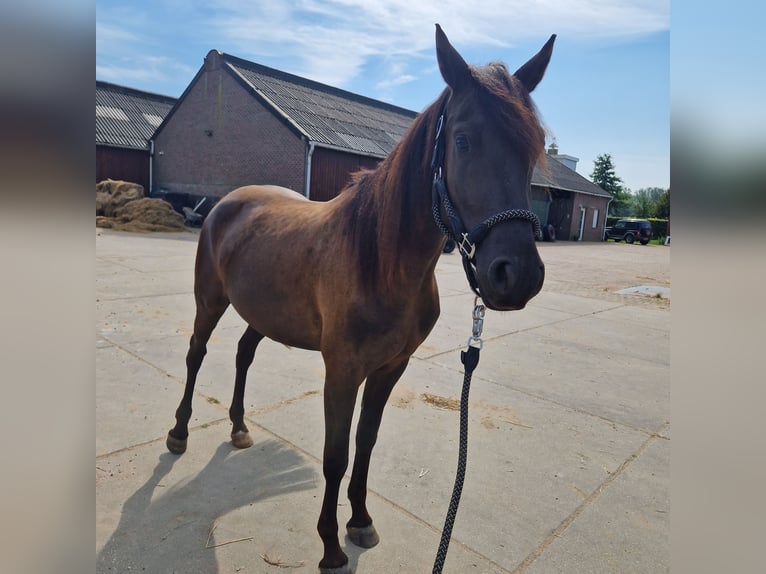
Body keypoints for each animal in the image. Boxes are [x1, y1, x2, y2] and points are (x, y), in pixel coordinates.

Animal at [168, 24, 556, 572]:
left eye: (534, 147)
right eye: (462, 140)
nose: (516, 275)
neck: (381, 262)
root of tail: (229, 201)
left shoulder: (391, 367)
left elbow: (366, 443)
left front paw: (360, 521)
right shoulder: (343, 370)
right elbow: (336, 455)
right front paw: (330, 546)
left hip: (262, 313)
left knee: (243, 354)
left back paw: (239, 427)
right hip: (210, 300)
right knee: (196, 354)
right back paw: (179, 433)